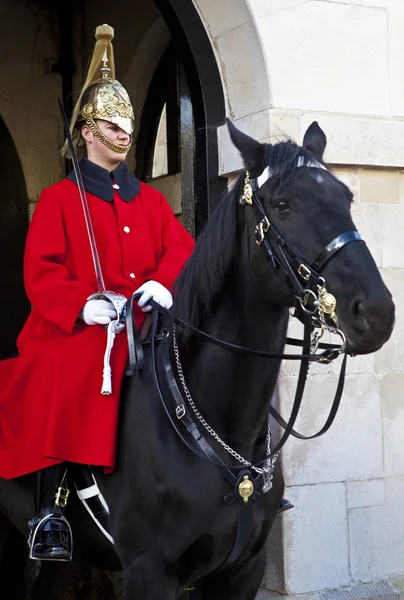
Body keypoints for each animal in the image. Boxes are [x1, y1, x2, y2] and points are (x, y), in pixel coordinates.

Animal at [0, 119, 394, 596]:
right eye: (283, 205)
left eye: (346, 197)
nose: (377, 312)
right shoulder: (149, 572)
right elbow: (45, 267)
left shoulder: (245, 569)